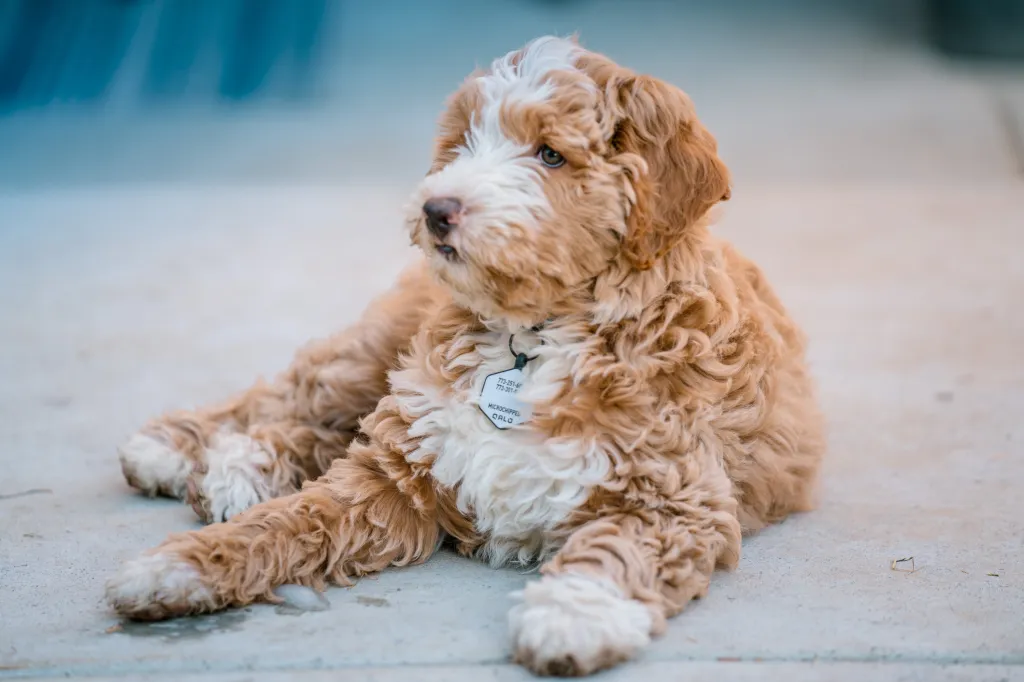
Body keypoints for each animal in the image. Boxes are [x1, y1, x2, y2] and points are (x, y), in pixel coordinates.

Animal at [105, 35, 823, 675]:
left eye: (550, 154)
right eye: (463, 143)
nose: (436, 208)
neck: (531, 336)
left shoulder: (674, 495)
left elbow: (620, 546)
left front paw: (572, 613)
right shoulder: (395, 470)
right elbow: (290, 521)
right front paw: (177, 566)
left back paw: (238, 467)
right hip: (381, 348)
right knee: (301, 395)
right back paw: (182, 450)